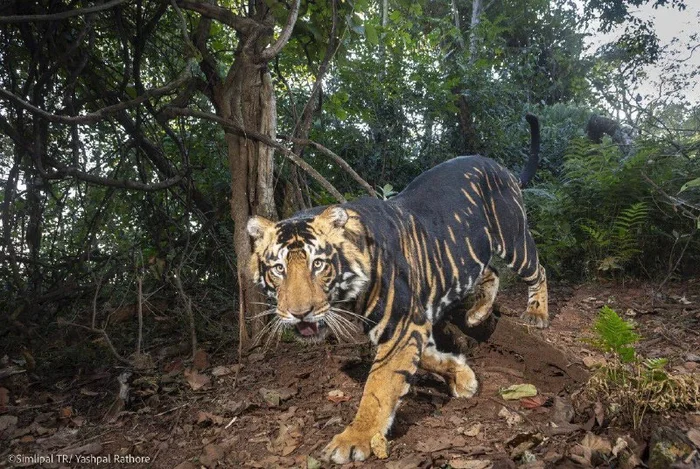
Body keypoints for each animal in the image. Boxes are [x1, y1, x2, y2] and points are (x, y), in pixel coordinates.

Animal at [246, 113, 548, 460]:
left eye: (318, 265)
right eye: (278, 269)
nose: (300, 313)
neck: (348, 298)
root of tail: (500, 166)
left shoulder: (403, 324)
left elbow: (379, 385)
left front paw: (355, 438)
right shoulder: (409, 324)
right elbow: (426, 356)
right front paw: (463, 376)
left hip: (514, 238)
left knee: (538, 270)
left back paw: (537, 313)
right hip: (472, 249)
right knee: (491, 271)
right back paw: (477, 313)